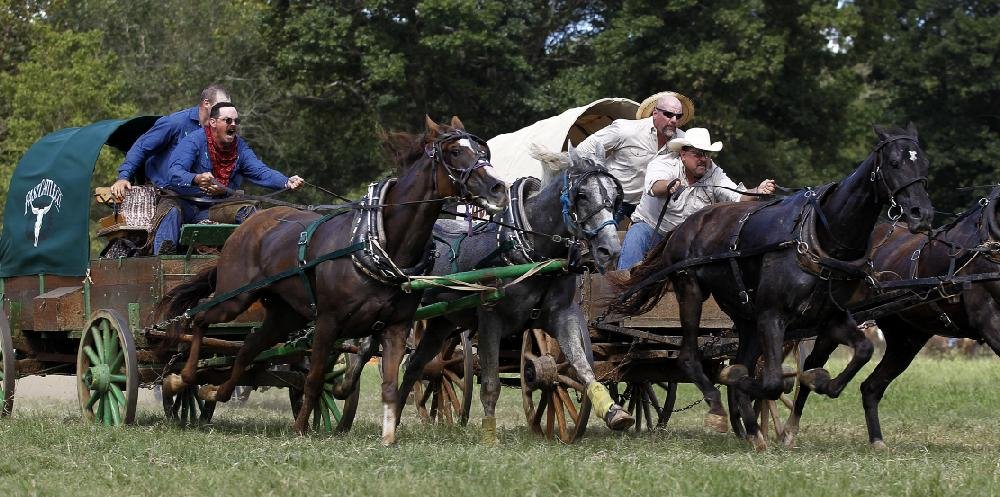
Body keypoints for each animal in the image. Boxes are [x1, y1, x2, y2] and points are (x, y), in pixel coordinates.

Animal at [160, 117, 512, 446]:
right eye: (455, 152)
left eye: (482, 151)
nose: (498, 188)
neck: (375, 243)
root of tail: (249, 224)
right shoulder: (328, 322)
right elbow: (315, 377)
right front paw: (300, 428)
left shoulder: (396, 327)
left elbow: (389, 385)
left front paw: (388, 438)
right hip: (235, 297)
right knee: (199, 319)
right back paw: (181, 378)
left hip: (284, 315)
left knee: (247, 348)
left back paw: (214, 391)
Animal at [392, 141, 632, 440]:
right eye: (582, 194)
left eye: (615, 195)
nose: (610, 250)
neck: (533, 251)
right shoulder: (490, 320)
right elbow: (490, 383)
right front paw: (489, 436)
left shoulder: (563, 316)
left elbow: (582, 366)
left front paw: (613, 411)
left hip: (440, 323)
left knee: (415, 366)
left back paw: (395, 415)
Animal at [612, 125, 932, 450]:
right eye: (894, 163)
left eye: (924, 164)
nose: (922, 214)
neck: (821, 238)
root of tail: (683, 227)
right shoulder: (772, 315)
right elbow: (773, 382)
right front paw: (741, 381)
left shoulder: (832, 317)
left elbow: (863, 350)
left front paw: (819, 380)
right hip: (691, 290)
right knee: (689, 357)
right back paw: (718, 407)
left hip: (744, 315)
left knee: (741, 358)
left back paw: (752, 430)